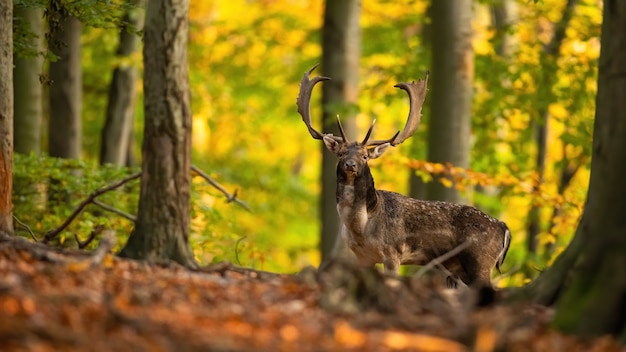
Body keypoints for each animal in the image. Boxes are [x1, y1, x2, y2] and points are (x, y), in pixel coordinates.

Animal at [294, 65, 510, 288]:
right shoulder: (362, 256)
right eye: (341, 153)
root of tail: (503, 227)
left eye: (365, 156)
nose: (350, 165)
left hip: (480, 261)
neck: (361, 227)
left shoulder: (393, 252)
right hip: (459, 268)